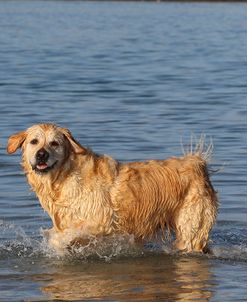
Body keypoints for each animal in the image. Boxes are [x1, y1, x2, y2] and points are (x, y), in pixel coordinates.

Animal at [6, 124, 217, 254]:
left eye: (54, 143)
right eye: (34, 141)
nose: (41, 155)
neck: (63, 176)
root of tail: (197, 163)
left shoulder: (101, 219)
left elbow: (60, 237)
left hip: (191, 225)